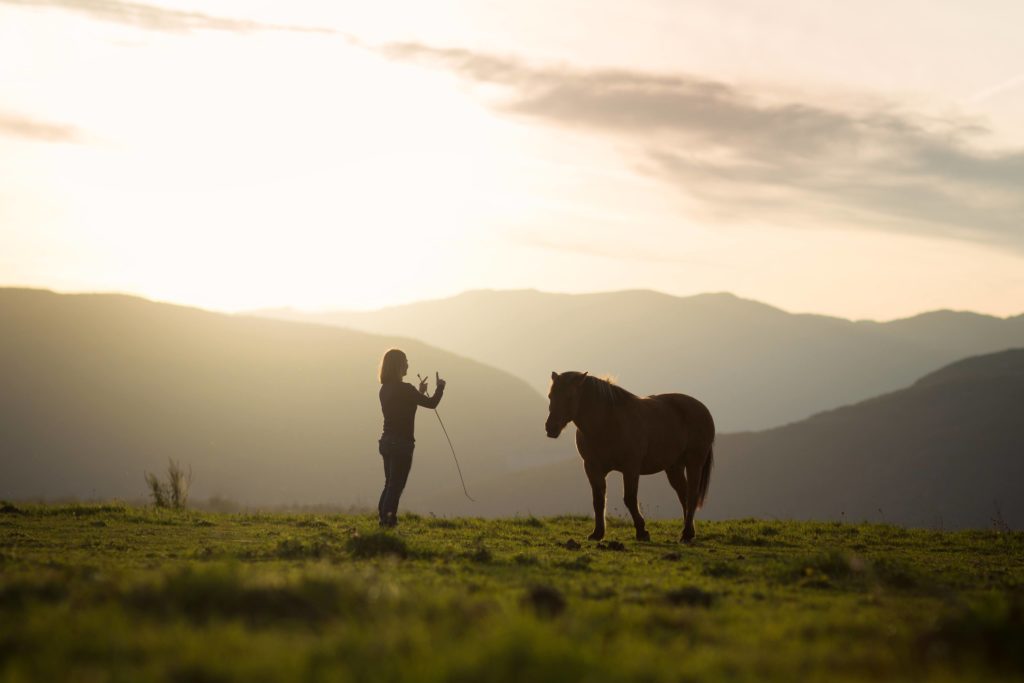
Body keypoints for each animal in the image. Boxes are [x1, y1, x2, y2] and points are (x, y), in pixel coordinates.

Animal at [544, 370, 712, 540]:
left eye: (570, 396)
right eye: (551, 396)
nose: (551, 427)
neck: (607, 423)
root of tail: (702, 408)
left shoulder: (631, 468)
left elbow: (630, 499)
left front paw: (642, 531)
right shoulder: (592, 467)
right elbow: (598, 500)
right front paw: (597, 533)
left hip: (694, 463)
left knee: (692, 494)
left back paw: (687, 533)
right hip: (674, 467)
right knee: (683, 494)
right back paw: (687, 531)